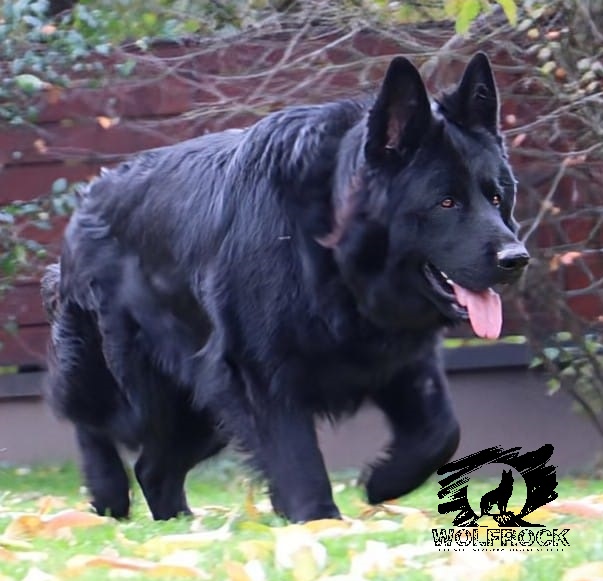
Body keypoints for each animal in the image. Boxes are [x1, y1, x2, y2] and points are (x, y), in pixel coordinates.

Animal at [42, 52, 529, 522]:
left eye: (496, 198)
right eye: (446, 202)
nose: (516, 260)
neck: (326, 248)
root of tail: (90, 195)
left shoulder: (398, 360)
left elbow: (441, 432)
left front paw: (383, 482)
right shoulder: (260, 370)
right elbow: (297, 456)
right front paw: (318, 522)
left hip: (202, 408)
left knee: (152, 466)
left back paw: (179, 524)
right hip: (141, 389)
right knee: (91, 421)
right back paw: (108, 494)